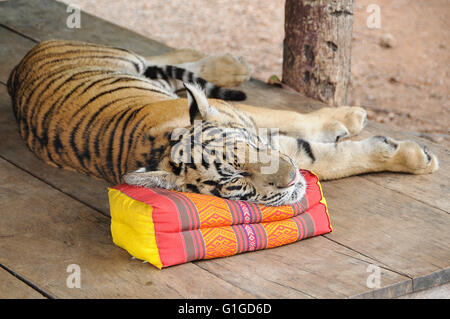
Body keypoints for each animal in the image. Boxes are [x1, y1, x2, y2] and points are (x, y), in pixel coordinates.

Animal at [6, 39, 436, 208]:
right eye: (237, 181)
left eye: (251, 150)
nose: (290, 180)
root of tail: (16, 69)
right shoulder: (291, 151)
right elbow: (329, 158)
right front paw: (416, 157)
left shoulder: (252, 118)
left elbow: (296, 117)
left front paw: (347, 116)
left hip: (128, 61)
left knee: (158, 58)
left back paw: (223, 64)